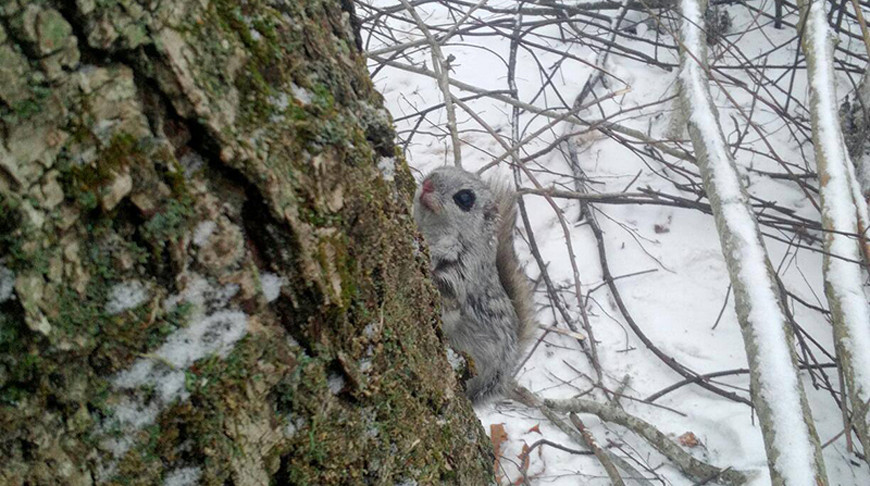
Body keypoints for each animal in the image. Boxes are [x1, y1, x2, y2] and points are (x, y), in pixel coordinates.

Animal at [414, 166, 535, 402]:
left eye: (465, 198)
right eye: (437, 170)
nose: (427, 184)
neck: (434, 232)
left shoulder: (462, 274)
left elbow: (446, 296)